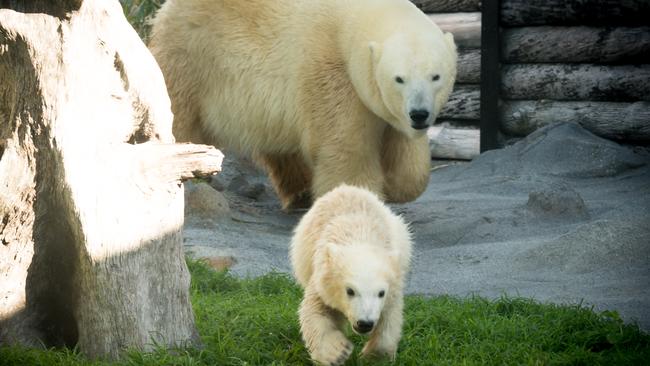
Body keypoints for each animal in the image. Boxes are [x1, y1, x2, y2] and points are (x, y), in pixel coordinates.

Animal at [149, 0, 454, 207]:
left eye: (435, 76)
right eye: (399, 78)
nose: (419, 114)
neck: (353, 23)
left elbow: (407, 160)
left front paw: (396, 186)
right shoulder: (331, 72)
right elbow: (347, 148)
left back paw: (300, 192)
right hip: (193, 57)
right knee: (180, 111)